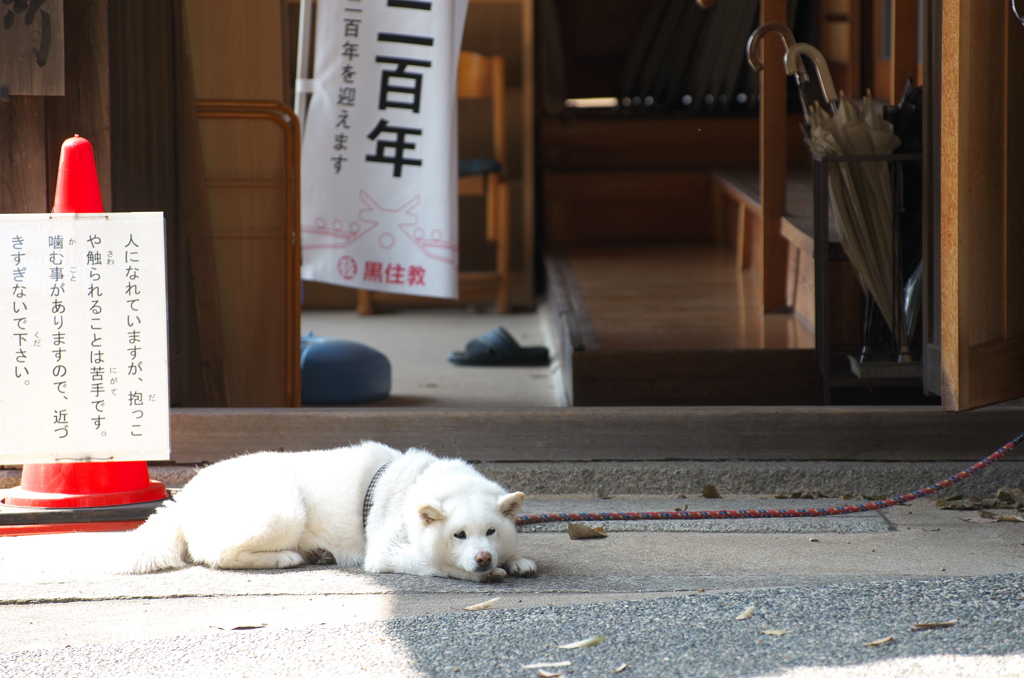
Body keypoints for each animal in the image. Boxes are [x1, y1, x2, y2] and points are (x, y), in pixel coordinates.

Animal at [128, 440, 536, 585]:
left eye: (491, 532)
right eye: (458, 535)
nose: (483, 558)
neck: (417, 482)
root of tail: (186, 494)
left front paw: (516, 561)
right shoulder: (386, 552)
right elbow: (435, 563)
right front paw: (486, 571)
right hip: (284, 509)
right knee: (217, 553)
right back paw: (285, 558)